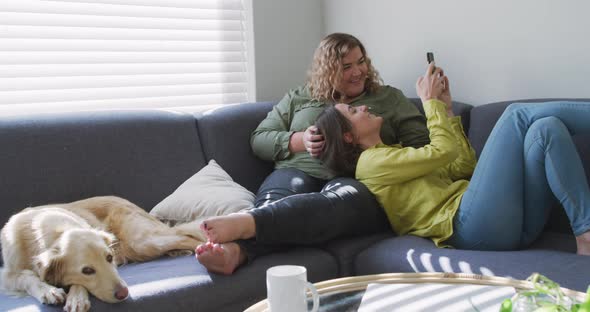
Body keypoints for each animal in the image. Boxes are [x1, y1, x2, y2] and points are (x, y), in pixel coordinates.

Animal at [0, 196, 207, 310]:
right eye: (87, 270)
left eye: (109, 258)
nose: (124, 293)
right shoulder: (7, 275)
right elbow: (26, 277)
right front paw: (48, 290)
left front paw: (77, 297)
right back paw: (179, 251)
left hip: (142, 241)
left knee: (187, 235)